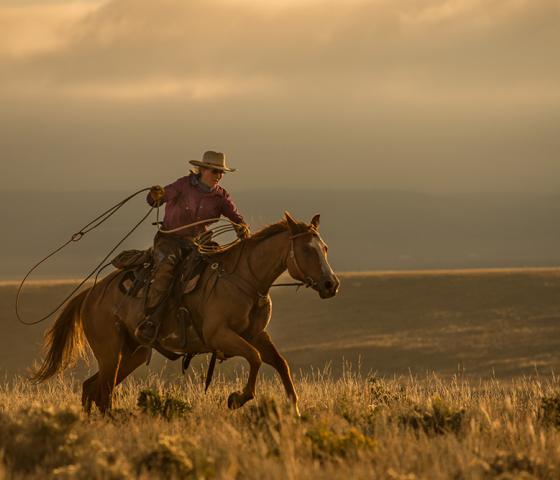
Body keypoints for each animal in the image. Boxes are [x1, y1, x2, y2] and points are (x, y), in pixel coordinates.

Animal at [36, 212, 342, 414]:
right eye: (307, 250)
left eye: (325, 248)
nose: (331, 284)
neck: (245, 279)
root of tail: (91, 294)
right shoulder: (220, 336)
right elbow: (255, 359)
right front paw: (237, 398)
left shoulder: (256, 335)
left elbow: (280, 363)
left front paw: (294, 409)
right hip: (110, 352)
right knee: (103, 392)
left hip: (133, 353)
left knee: (92, 388)